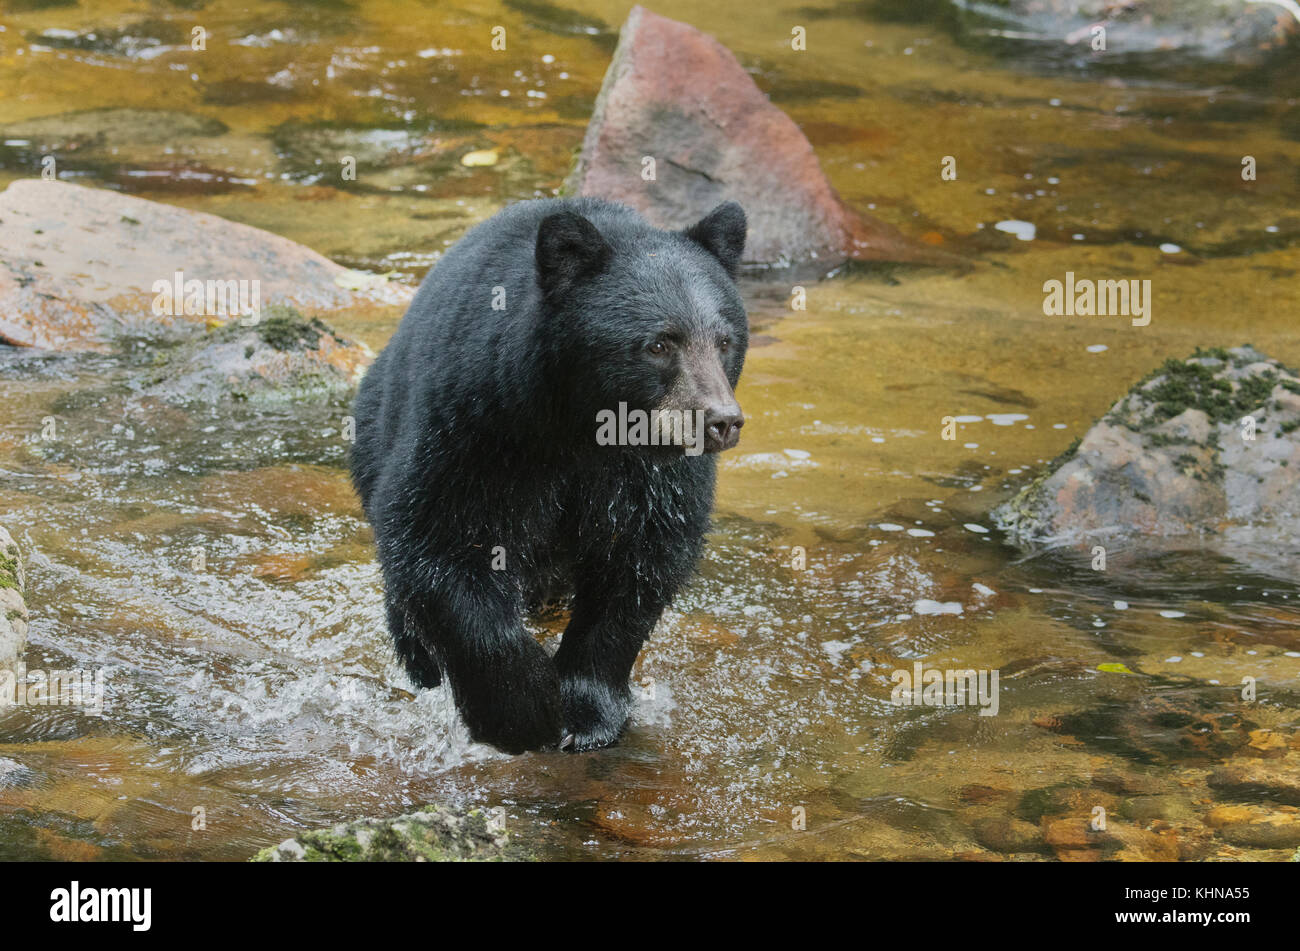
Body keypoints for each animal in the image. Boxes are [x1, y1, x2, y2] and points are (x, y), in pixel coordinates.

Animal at [351, 197, 748, 753]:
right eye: (659, 344)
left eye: (725, 340)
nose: (721, 421)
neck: (583, 428)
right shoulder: (477, 425)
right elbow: (440, 540)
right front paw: (522, 709)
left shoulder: (653, 476)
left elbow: (642, 563)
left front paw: (587, 712)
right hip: (376, 430)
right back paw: (422, 665)